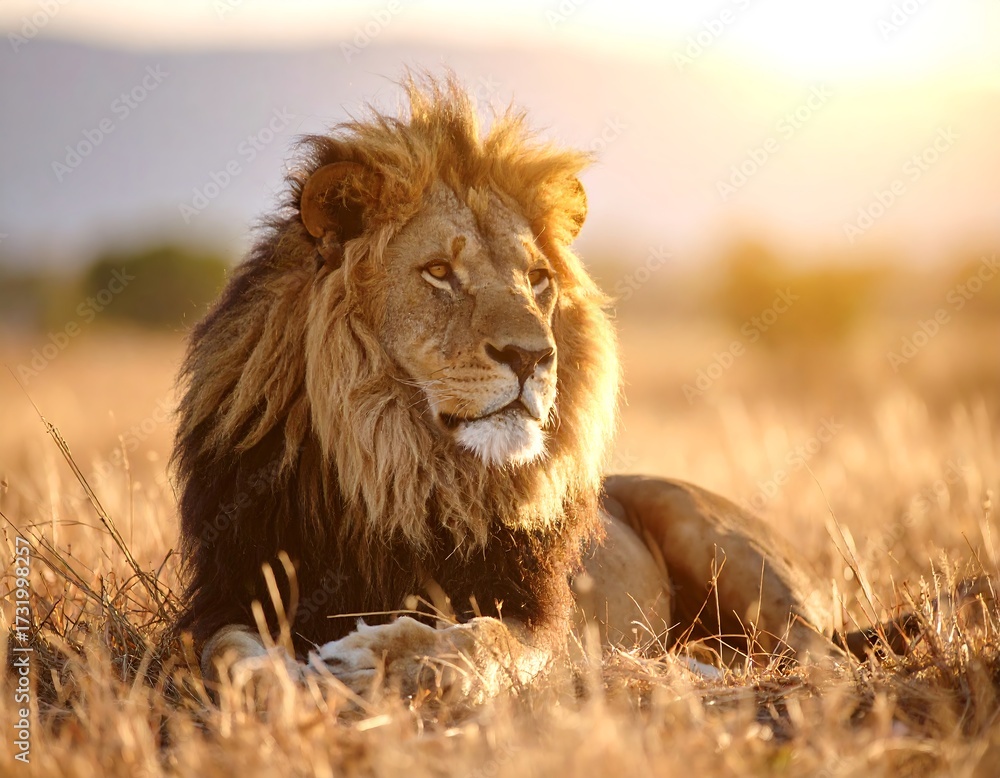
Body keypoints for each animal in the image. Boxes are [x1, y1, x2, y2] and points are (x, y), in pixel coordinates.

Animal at [172, 75, 913, 702]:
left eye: (536, 279)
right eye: (439, 272)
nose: (533, 357)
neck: (396, 468)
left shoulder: (538, 612)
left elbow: (480, 642)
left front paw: (375, 659)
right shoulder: (231, 589)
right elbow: (223, 653)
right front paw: (279, 682)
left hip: (714, 541)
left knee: (823, 659)